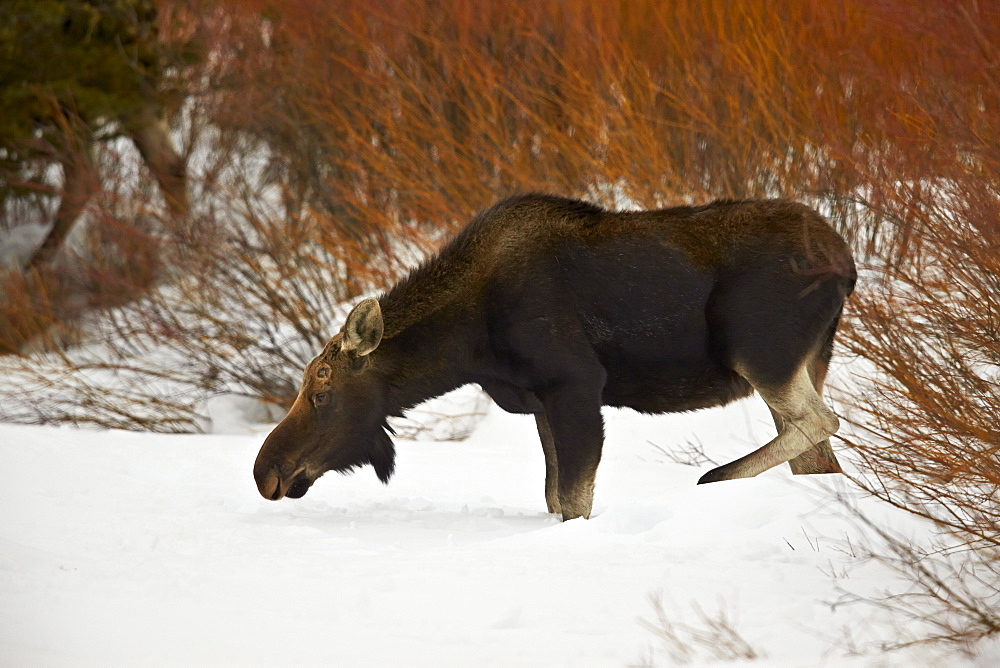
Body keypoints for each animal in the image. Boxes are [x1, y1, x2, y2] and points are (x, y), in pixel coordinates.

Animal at [254, 190, 856, 520]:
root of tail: (848, 265)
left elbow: (573, 501)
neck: (467, 344)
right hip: (804, 359)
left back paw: (717, 476)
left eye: (323, 390)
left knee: (821, 420)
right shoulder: (540, 399)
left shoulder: (576, 385)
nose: (266, 471)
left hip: (759, 349)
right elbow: (553, 495)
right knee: (816, 453)